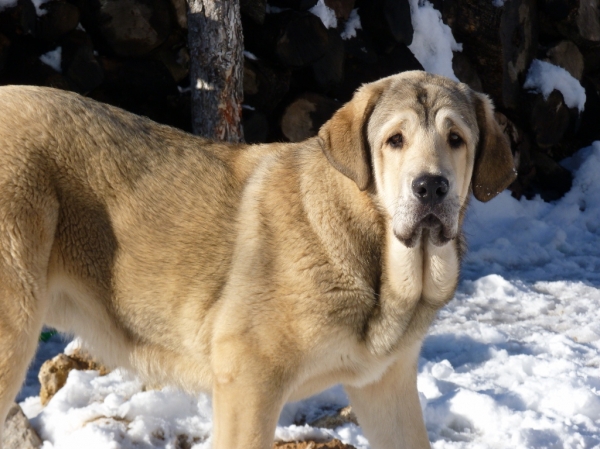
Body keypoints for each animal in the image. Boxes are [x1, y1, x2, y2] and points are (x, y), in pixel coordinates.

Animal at [0, 72, 516, 446]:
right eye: (395, 140)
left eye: (456, 139)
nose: (430, 187)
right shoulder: (248, 381)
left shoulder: (386, 386)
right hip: (14, 327)